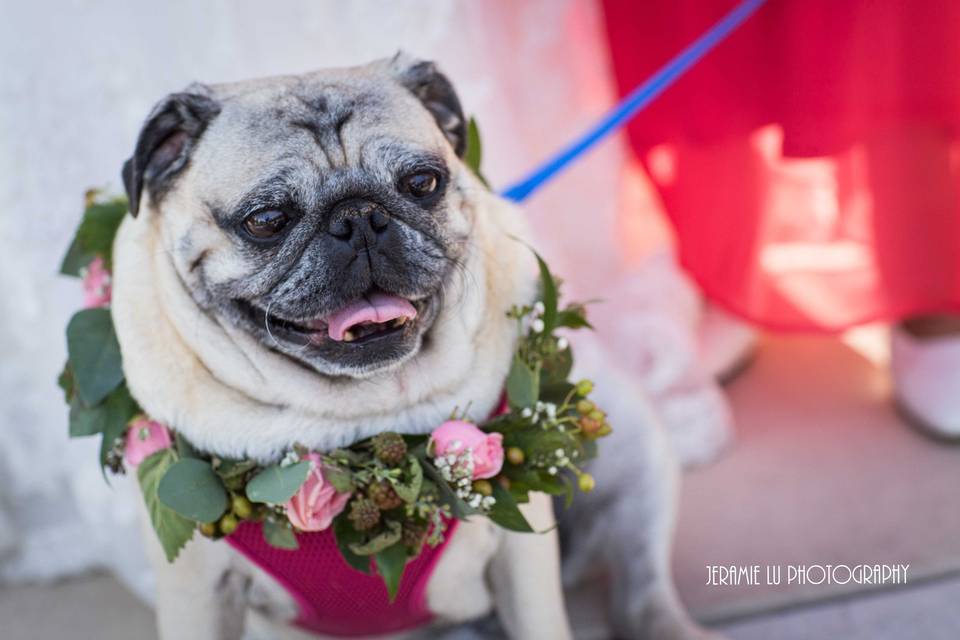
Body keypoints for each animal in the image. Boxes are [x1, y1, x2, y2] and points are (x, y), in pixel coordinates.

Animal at [110, 55, 712, 640]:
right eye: (266, 221)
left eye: (423, 182)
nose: (357, 218)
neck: (358, 415)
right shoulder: (198, 593)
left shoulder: (523, 561)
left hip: (635, 449)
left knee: (642, 589)